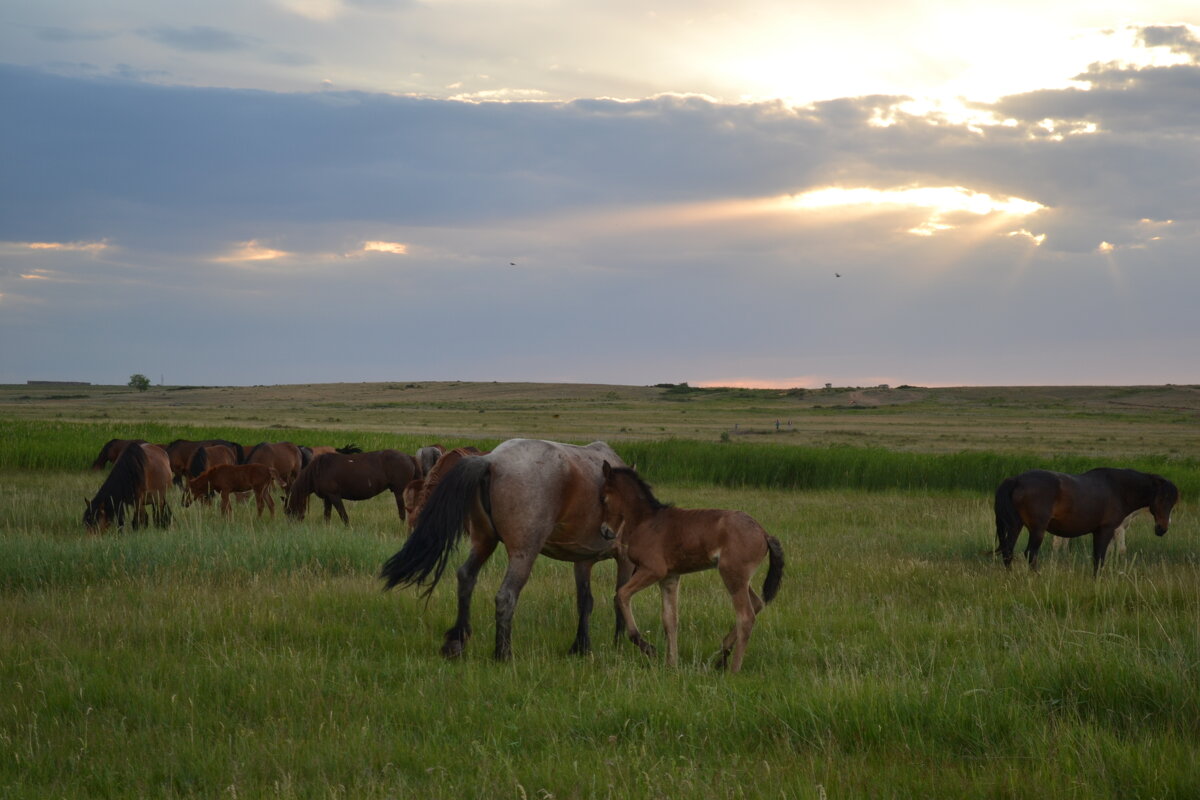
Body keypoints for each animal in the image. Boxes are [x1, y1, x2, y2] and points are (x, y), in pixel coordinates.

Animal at [286, 450, 422, 525]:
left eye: (289, 511)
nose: (291, 527)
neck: (318, 470)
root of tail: (409, 457)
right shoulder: (327, 498)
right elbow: (327, 516)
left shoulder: (334, 496)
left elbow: (343, 515)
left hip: (400, 492)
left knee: (402, 512)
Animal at [381, 441, 638, 662]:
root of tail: (491, 460)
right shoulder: (622, 560)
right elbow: (619, 598)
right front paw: (618, 644)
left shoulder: (582, 560)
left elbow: (585, 602)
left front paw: (581, 647)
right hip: (523, 554)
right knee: (506, 595)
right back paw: (503, 653)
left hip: (483, 542)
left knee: (465, 577)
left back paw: (457, 643)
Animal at [600, 462, 787, 676]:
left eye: (603, 498)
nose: (605, 531)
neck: (646, 521)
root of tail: (764, 534)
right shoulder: (670, 577)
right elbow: (670, 619)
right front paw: (671, 664)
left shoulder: (653, 570)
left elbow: (621, 595)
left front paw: (648, 648)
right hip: (739, 578)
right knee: (757, 604)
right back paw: (721, 655)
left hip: (732, 576)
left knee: (746, 616)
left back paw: (733, 670)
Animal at [993, 470, 1180, 575]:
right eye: (1162, 499)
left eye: (1173, 502)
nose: (1162, 528)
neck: (1118, 489)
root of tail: (1016, 480)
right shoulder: (1107, 529)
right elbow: (1101, 558)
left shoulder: (1101, 532)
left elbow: (1099, 557)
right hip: (1037, 530)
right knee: (1031, 554)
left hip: (1015, 526)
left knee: (1008, 552)